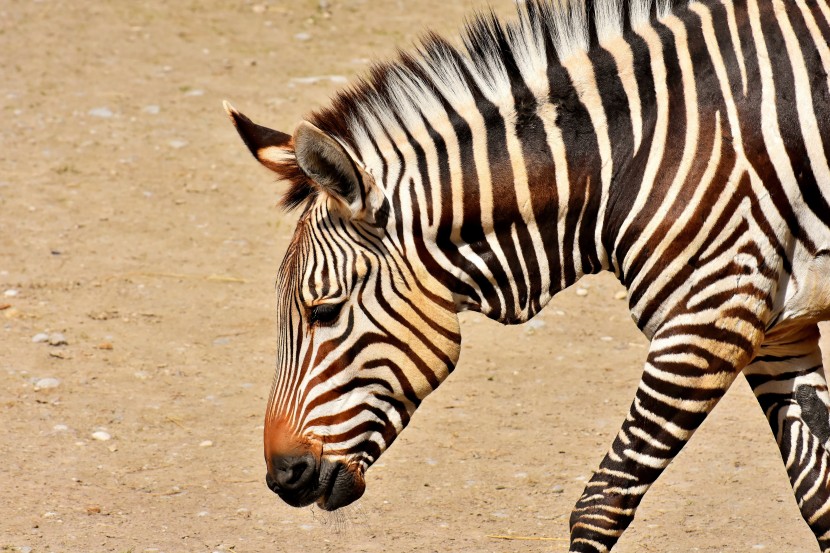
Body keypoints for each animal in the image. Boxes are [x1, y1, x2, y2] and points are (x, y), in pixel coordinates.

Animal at [224, 0, 830, 548]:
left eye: (324, 312)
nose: (282, 477)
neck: (631, 158)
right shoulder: (775, 328)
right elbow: (817, 493)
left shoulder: (711, 314)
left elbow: (600, 504)